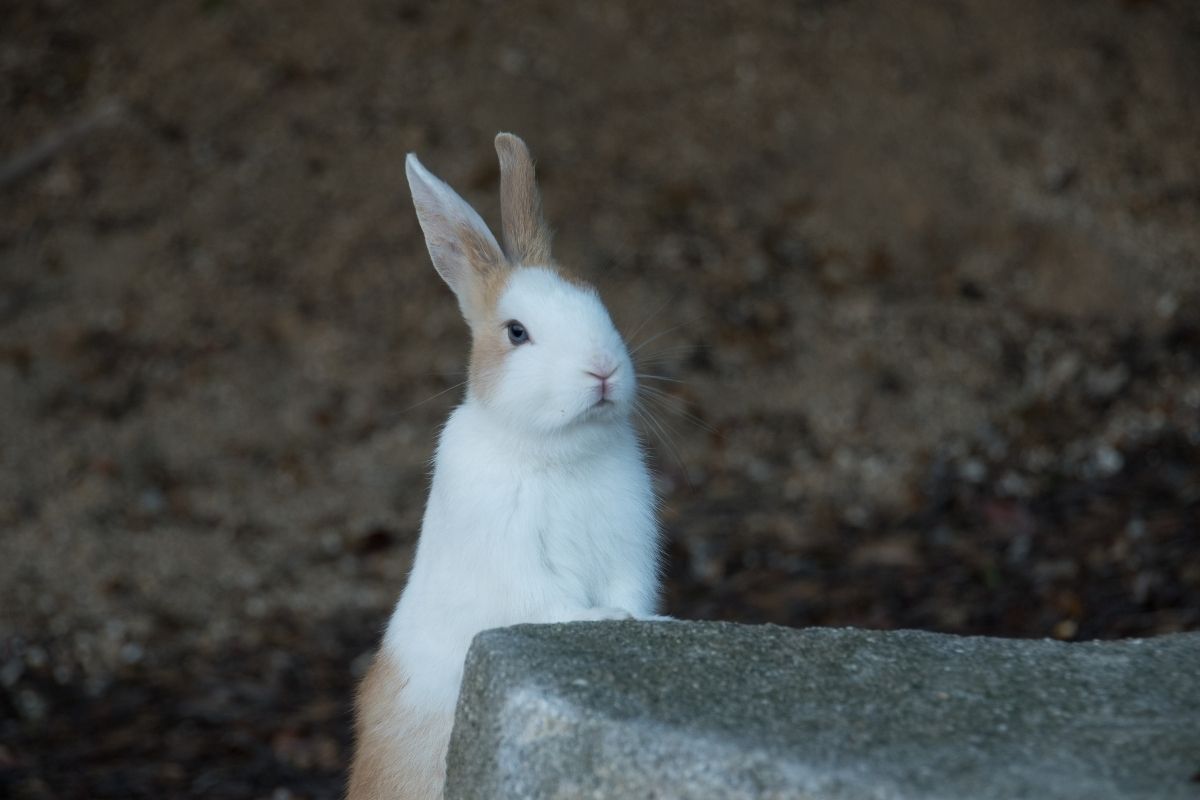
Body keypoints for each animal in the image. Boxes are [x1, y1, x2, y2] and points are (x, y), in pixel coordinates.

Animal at [345, 134, 667, 796]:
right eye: (517, 332)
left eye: (598, 300)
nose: (602, 370)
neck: (557, 448)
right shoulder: (516, 559)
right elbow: (555, 603)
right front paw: (605, 618)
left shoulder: (630, 547)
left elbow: (631, 589)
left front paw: (642, 620)